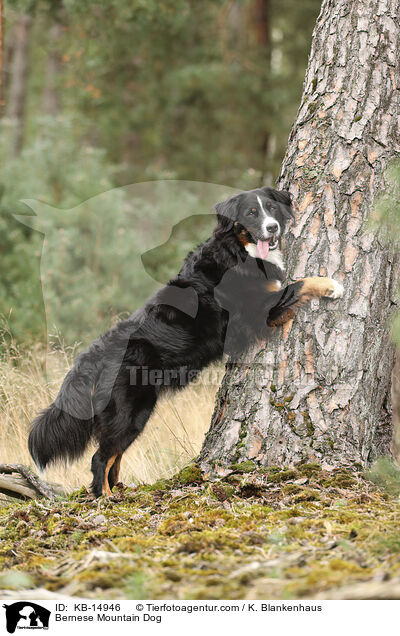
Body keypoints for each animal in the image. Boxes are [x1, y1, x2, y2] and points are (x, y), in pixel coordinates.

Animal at [28, 186, 342, 500]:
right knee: (101, 458)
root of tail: (94, 355)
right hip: (132, 411)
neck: (239, 251)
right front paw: (332, 285)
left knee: (113, 458)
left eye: (271, 208)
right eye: (251, 213)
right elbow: (300, 283)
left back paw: (119, 491)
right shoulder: (261, 310)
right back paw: (106, 498)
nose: (272, 227)